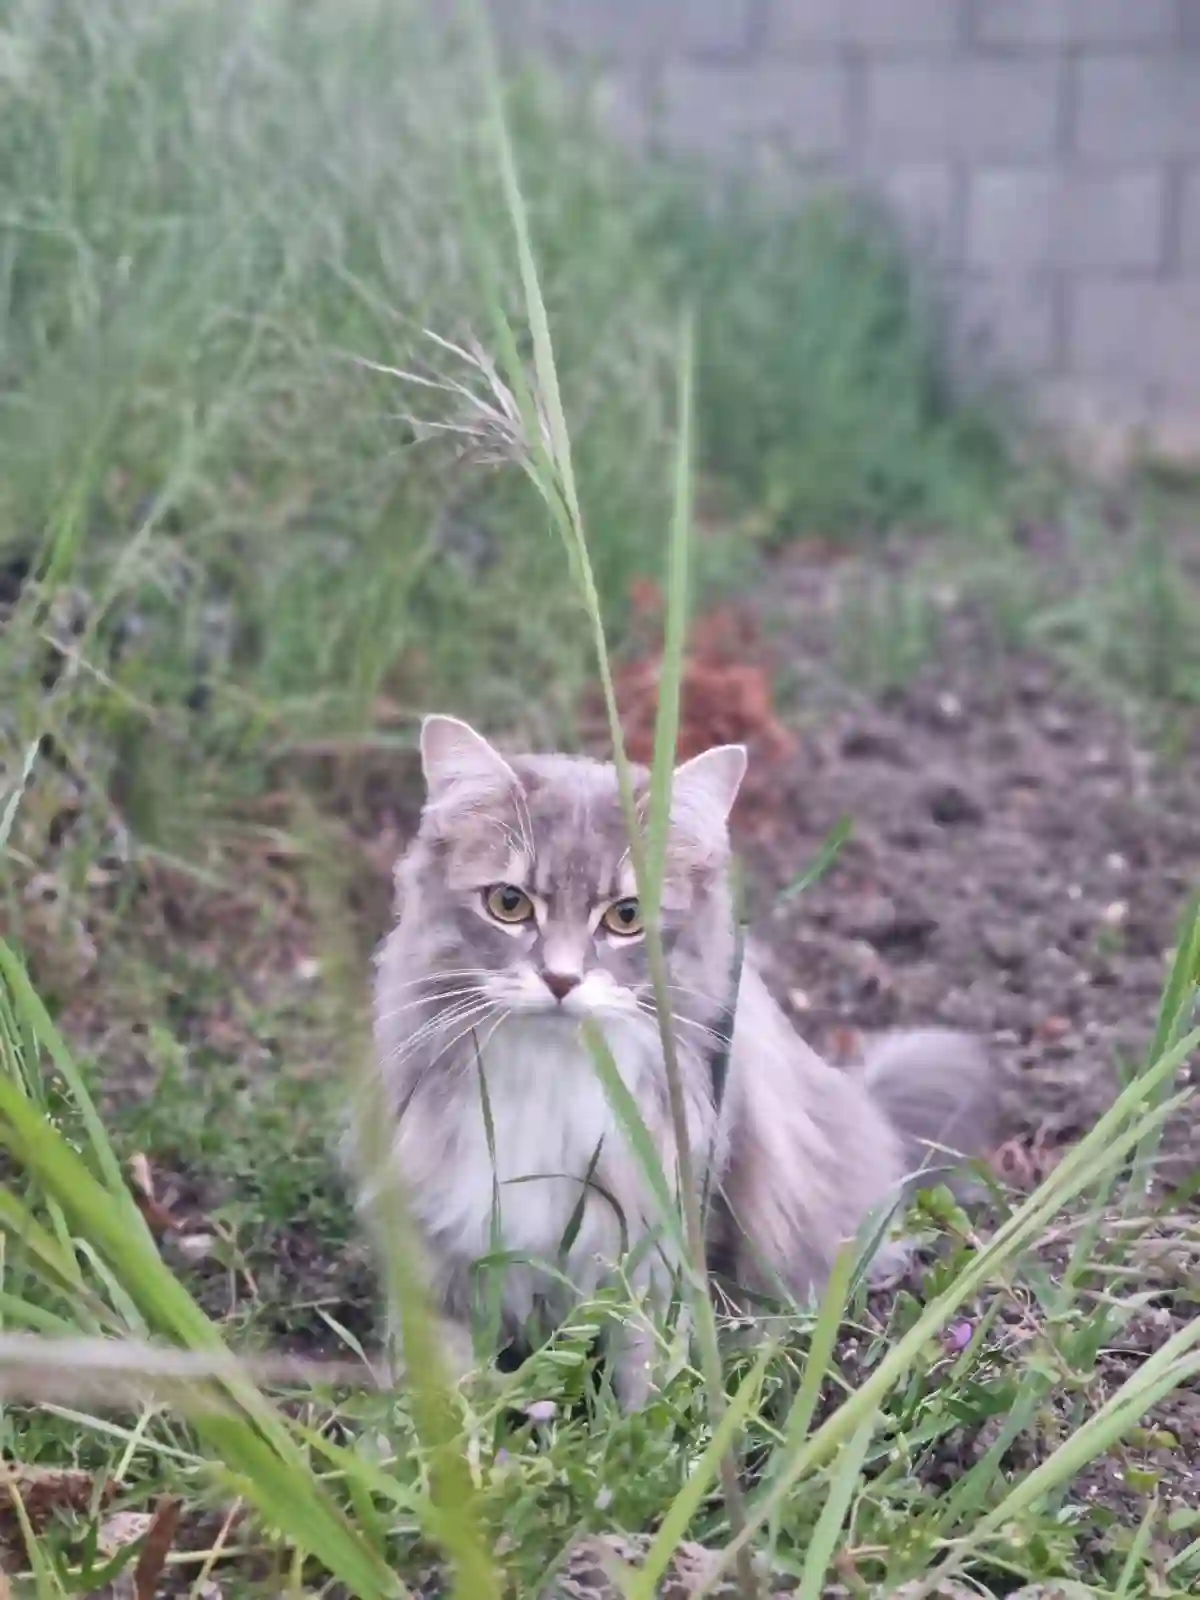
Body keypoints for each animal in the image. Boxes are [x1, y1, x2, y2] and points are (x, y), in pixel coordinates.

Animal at [361, 713, 998, 1401]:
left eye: (626, 917)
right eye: (508, 904)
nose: (560, 979)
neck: (554, 1078)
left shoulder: (662, 1250)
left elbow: (649, 1378)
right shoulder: (440, 1248)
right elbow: (444, 1386)